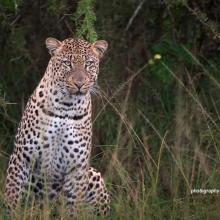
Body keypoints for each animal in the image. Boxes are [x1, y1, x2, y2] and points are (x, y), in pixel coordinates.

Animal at [4, 37, 111, 216]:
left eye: (88, 63)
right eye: (67, 63)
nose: (79, 83)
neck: (65, 107)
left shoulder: (77, 168)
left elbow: (73, 208)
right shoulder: (22, 159)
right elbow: (12, 197)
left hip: (92, 173)